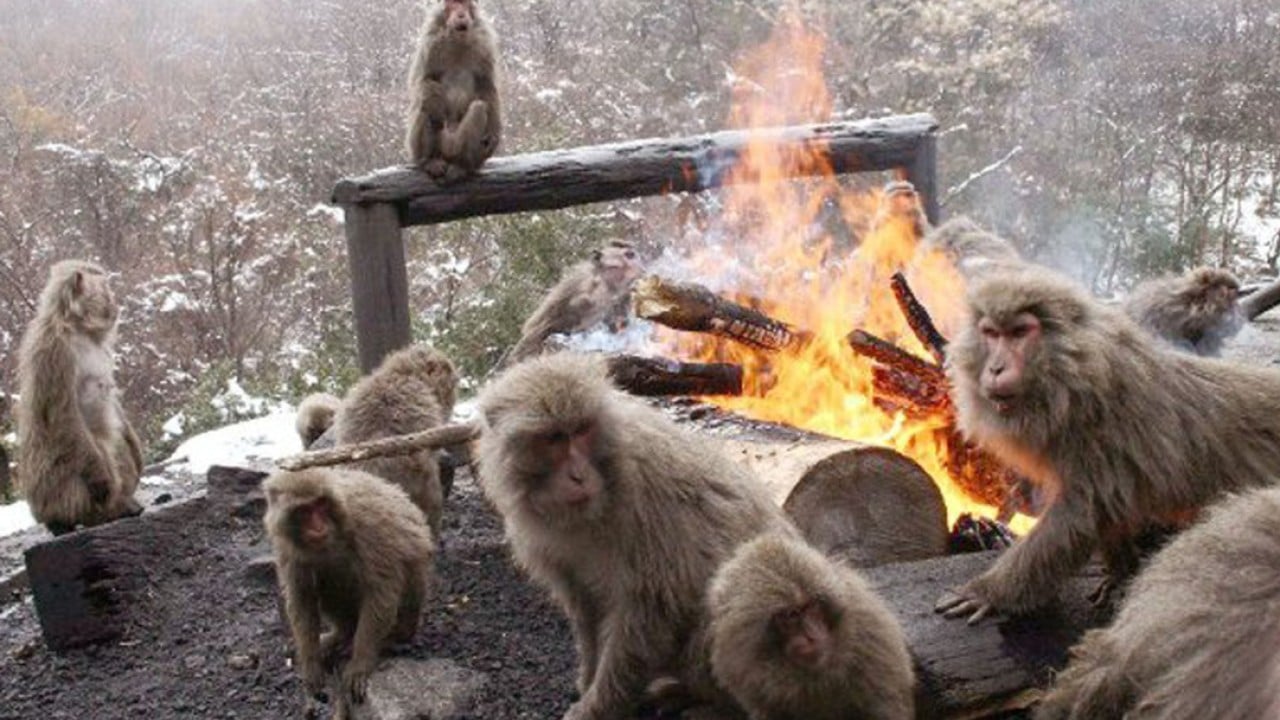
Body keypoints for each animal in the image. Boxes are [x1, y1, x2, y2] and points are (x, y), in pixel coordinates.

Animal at [15, 260, 144, 535]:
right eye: (105, 287)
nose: (115, 303)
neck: (78, 328)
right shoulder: (55, 352)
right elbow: (61, 412)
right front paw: (101, 481)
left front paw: (137, 452)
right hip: (52, 482)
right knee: (85, 451)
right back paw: (74, 518)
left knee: (117, 442)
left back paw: (123, 505)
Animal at [263, 468, 435, 720]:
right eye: (305, 510)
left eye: (321, 504)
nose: (318, 526)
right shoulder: (285, 545)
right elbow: (302, 597)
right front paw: (311, 664)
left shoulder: (368, 524)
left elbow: (380, 592)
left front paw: (360, 664)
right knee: (323, 575)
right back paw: (341, 635)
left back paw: (390, 639)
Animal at [405, 0, 502, 182]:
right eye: (453, 4)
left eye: (465, 4)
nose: (461, 14)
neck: (458, 41)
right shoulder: (430, 43)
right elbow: (422, 80)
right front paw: (434, 100)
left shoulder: (484, 46)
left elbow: (486, 85)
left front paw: (494, 135)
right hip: (432, 144)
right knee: (426, 108)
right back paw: (430, 161)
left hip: (457, 145)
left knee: (479, 108)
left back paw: (462, 166)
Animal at [475, 353, 795, 720]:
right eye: (554, 438)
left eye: (582, 431)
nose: (578, 476)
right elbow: (586, 605)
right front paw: (588, 679)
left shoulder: (648, 497)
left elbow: (650, 609)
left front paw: (597, 705)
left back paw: (711, 705)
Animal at [935, 264, 1280, 624]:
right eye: (991, 333)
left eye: (1018, 333)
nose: (996, 368)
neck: (1070, 379)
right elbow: (1110, 509)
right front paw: (1121, 573)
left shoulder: (1098, 432)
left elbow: (1078, 517)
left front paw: (989, 592)